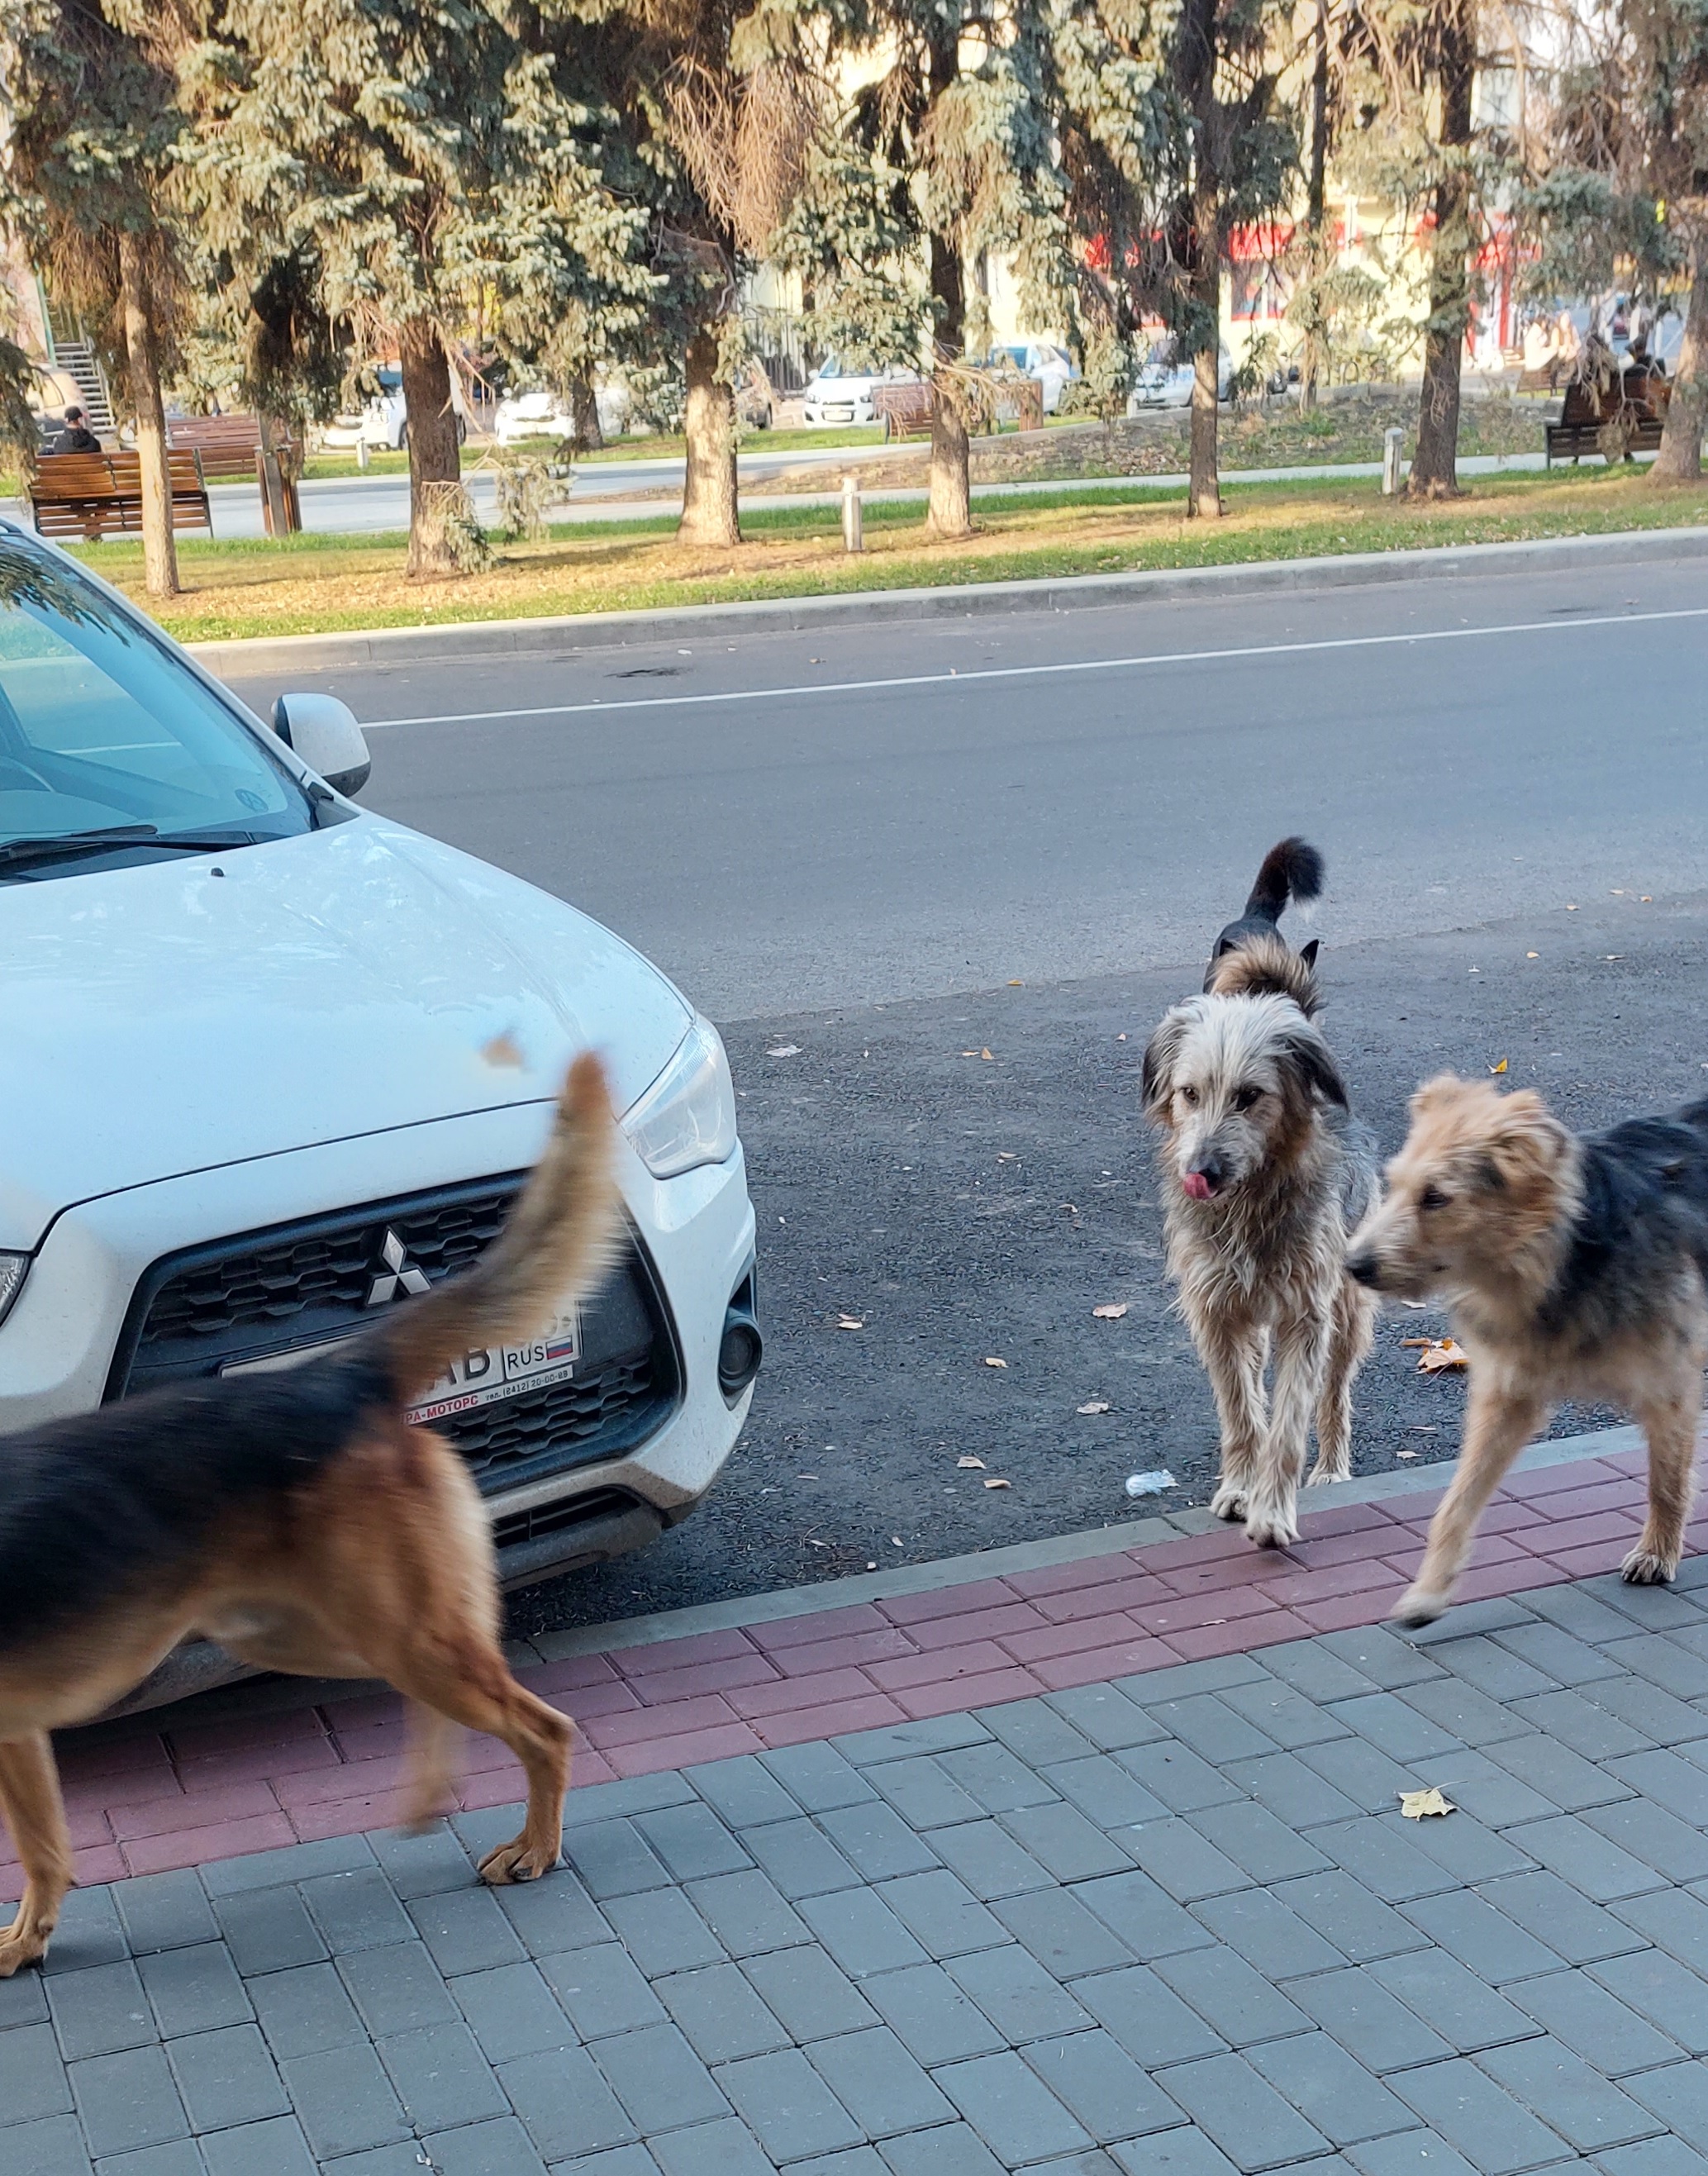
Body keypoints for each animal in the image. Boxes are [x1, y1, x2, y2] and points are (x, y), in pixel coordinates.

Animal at [0, 1053, 613, 1975]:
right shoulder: (19, 1732)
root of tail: (339, 1376)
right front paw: (28, 1937)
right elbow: (45, 1851)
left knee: (545, 1728)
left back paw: (533, 1846)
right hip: (314, 1638)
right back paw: (435, 1790)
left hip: (390, 1634)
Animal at [1139, 848, 1375, 1549]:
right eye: (1189, 1093)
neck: (1248, 1204)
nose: (1203, 1171)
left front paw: (1272, 1509)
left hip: (1345, 1309)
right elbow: (1243, 1410)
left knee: (1334, 1394)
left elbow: (1290, 1417)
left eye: (1249, 1096)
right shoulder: (1217, 1310)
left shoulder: (1305, 1312)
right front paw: (1239, 1489)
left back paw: (1332, 1470)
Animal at [1349, 1078, 1706, 1627]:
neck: (1561, 1255)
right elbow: (1456, 1503)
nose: (1354, 1266)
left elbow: (1665, 1483)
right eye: (1396, 1184)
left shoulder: (1669, 1387)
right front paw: (1429, 1592)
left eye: (1436, 1197)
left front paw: (1657, 1552)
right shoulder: (1507, 1394)